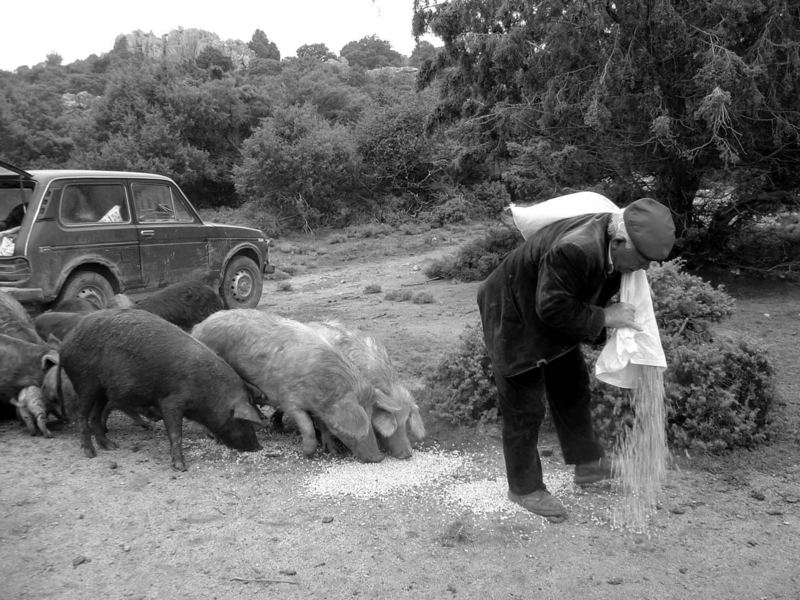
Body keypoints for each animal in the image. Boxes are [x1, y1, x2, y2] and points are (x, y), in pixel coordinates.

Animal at [60, 308, 266, 472]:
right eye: (245, 422)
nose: (258, 447)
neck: (208, 392)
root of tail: (65, 344)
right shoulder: (171, 401)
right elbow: (175, 433)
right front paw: (181, 467)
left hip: (102, 391)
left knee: (95, 416)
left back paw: (111, 446)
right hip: (86, 383)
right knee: (81, 415)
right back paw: (90, 453)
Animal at [191, 310, 384, 464]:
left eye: (370, 417)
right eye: (344, 431)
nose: (378, 457)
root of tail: (197, 327)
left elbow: (322, 426)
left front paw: (333, 451)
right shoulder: (288, 398)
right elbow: (307, 426)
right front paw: (306, 453)